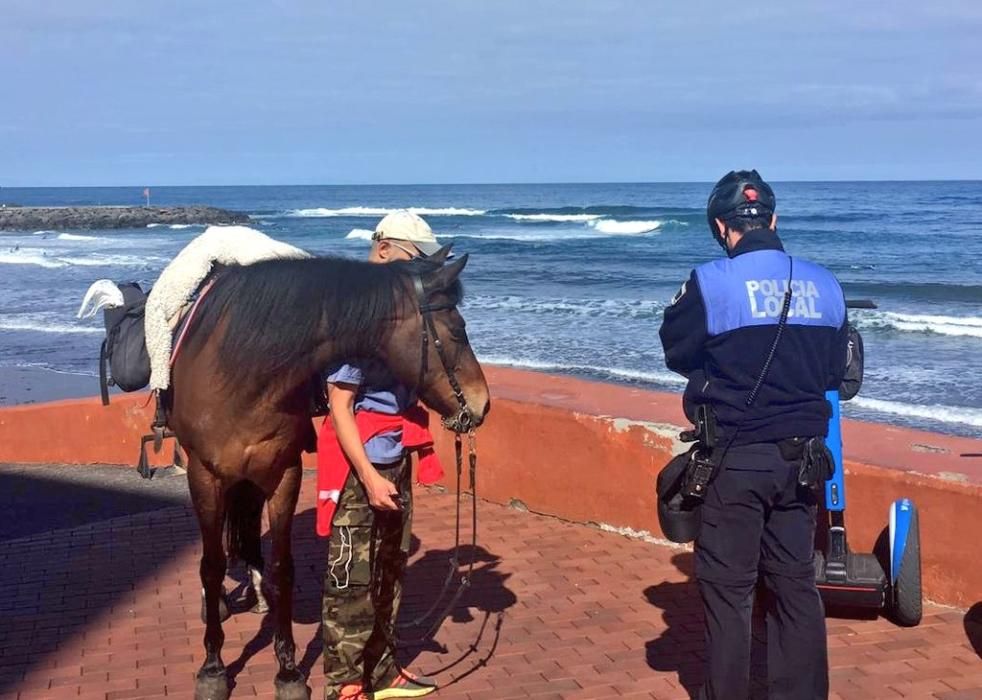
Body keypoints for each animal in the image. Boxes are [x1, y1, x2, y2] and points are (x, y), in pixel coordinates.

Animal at [164, 247, 496, 700]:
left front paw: (288, 671)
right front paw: (213, 668)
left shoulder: (283, 474)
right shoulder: (205, 477)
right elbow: (211, 566)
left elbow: (283, 567)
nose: (483, 404)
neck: (244, 373)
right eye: (459, 330)